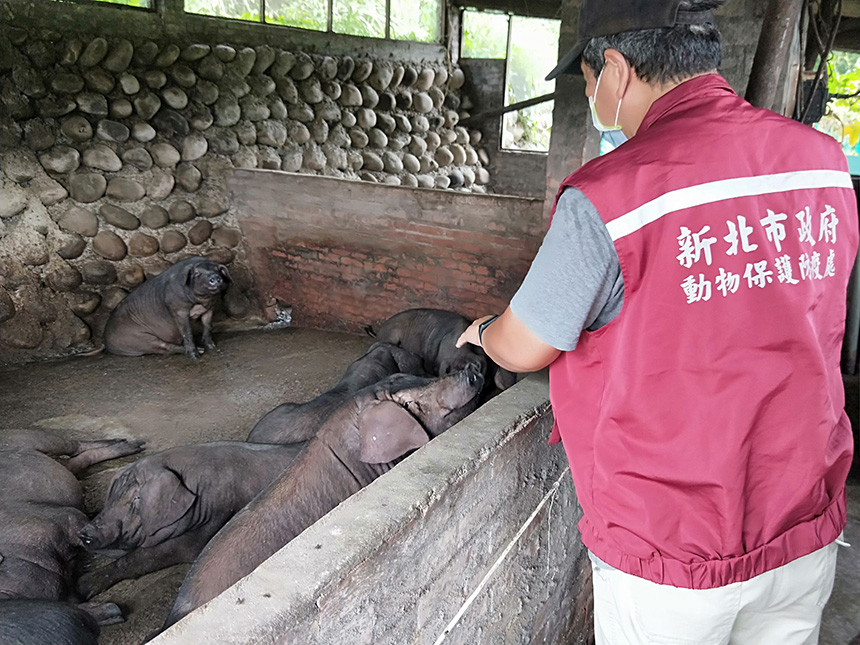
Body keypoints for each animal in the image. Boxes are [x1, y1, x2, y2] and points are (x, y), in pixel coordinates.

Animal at [75, 440, 308, 596]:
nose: (84, 533)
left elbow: (145, 557)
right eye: (111, 497)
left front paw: (82, 587)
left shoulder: (208, 526)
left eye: (136, 499)